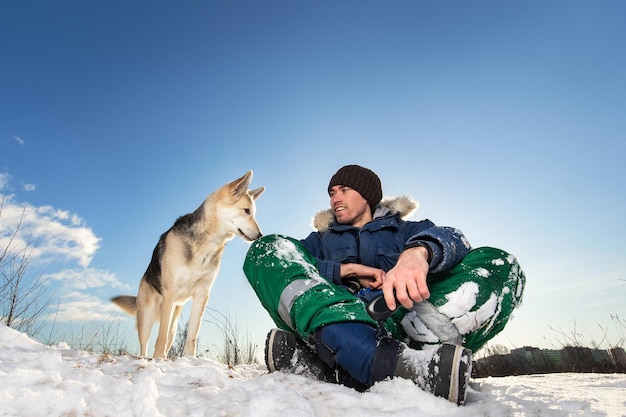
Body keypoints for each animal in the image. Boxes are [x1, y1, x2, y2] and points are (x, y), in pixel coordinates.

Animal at [112, 170, 264, 358]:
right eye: (247, 211)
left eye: (253, 213)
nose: (260, 235)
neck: (208, 241)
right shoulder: (170, 293)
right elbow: (160, 338)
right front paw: (158, 360)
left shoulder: (202, 295)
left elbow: (192, 336)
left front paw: (190, 359)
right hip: (147, 318)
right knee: (146, 344)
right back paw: (147, 358)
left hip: (174, 321)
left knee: (169, 338)